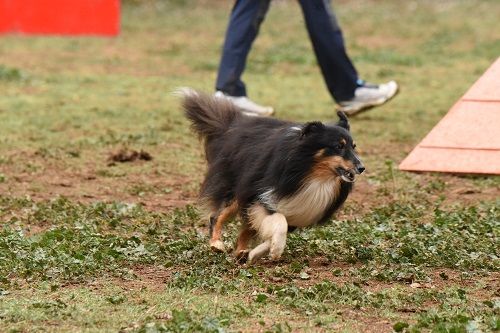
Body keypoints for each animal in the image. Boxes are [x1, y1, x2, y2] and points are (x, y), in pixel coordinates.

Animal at [181, 89, 364, 264]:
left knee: (245, 229)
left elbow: (268, 229)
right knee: (217, 216)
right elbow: (280, 222)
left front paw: (256, 253)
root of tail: (233, 126)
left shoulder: (296, 208)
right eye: (338, 146)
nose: (361, 168)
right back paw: (216, 244)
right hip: (237, 188)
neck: (312, 174)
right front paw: (276, 249)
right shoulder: (261, 194)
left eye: (354, 147)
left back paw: (241, 253)